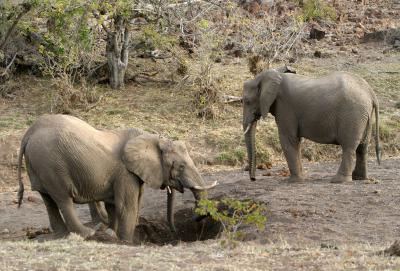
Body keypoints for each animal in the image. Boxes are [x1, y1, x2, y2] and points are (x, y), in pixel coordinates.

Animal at [16, 115, 216, 242]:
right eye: (180, 166)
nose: (175, 232)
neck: (153, 138)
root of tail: (28, 133)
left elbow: (114, 206)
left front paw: (111, 234)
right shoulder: (125, 173)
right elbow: (127, 206)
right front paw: (126, 241)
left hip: (39, 165)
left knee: (48, 199)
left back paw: (62, 235)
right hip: (51, 164)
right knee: (63, 199)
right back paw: (86, 234)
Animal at [242, 67, 380, 184]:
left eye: (247, 101)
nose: (253, 179)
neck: (273, 74)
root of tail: (371, 93)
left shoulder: (285, 107)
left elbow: (288, 139)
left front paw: (293, 181)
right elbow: (296, 141)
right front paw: (300, 178)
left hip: (352, 115)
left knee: (349, 147)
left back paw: (338, 181)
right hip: (363, 115)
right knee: (362, 147)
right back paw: (359, 178)